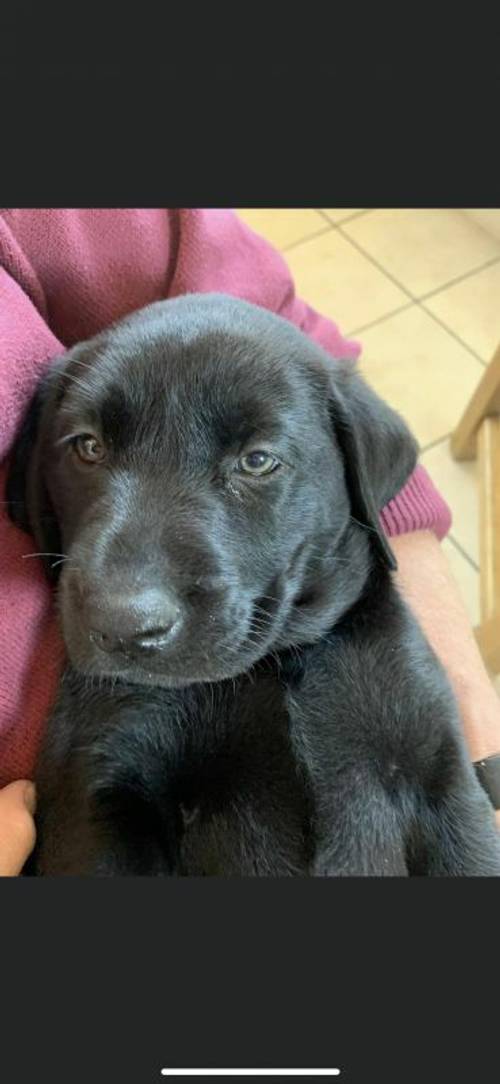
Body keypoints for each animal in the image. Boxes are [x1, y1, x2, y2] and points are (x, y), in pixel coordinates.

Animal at [6, 292, 498, 875]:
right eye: (87, 446)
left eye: (258, 460)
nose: (122, 627)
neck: (280, 662)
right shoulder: (98, 788)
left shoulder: (443, 781)